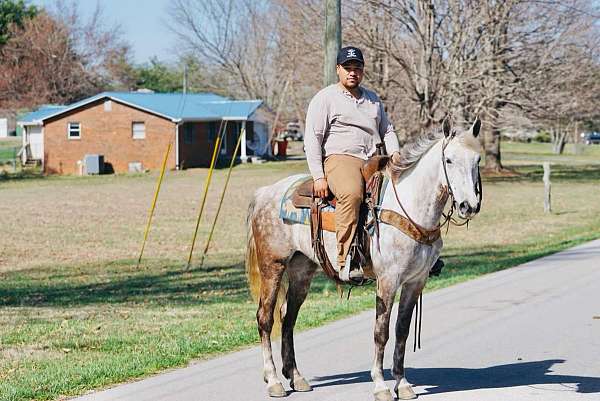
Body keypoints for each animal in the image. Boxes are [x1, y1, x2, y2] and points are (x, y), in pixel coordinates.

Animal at [245, 117, 482, 398]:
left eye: (478, 159)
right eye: (449, 160)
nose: (469, 205)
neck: (411, 207)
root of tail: (264, 193)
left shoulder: (416, 281)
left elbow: (402, 330)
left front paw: (402, 383)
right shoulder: (388, 280)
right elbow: (381, 332)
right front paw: (380, 385)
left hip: (302, 270)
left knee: (287, 317)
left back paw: (296, 376)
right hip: (273, 265)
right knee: (265, 317)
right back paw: (273, 380)